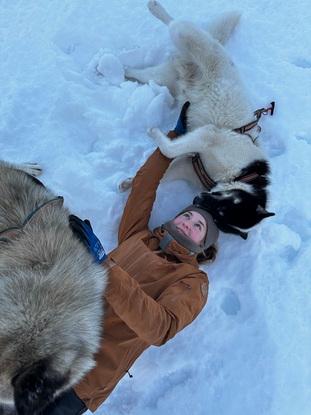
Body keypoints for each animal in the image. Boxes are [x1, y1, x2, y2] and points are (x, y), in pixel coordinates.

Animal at [124, 1, 276, 239]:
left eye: (218, 218)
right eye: (223, 208)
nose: (197, 199)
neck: (242, 174)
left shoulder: (187, 164)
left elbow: (162, 173)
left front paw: (132, 182)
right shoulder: (210, 135)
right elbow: (169, 150)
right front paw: (155, 133)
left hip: (163, 77)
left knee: (141, 74)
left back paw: (119, 70)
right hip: (191, 39)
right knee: (176, 23)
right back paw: (156, 9)